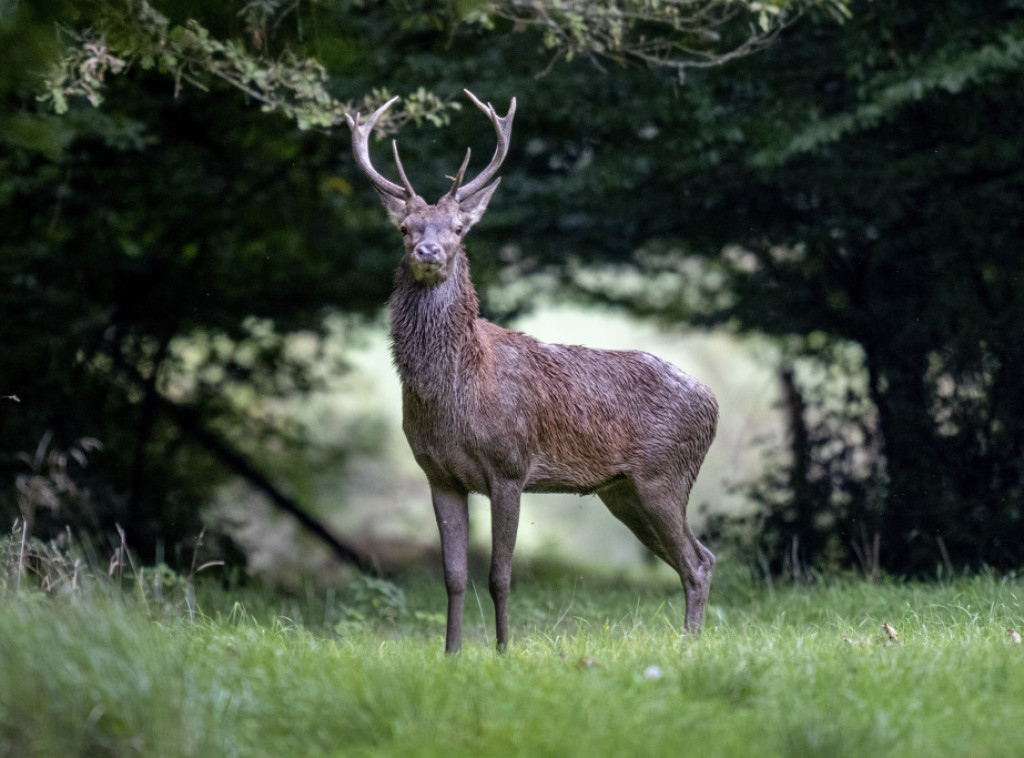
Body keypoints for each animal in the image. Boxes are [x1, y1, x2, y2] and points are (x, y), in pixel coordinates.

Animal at [346, 91, 720, 655]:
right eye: (404, 228)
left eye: (458, 229)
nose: (427, 251)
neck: (455, 393)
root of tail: (713, 403)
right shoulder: (438, 475)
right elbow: (453, 576)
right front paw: (452, 654)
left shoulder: (510, 466)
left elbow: (500, 575)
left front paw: (503, 651)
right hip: (623, 491)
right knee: (697, 558)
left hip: (665, 474)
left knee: (697, 562)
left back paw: (688, 646)